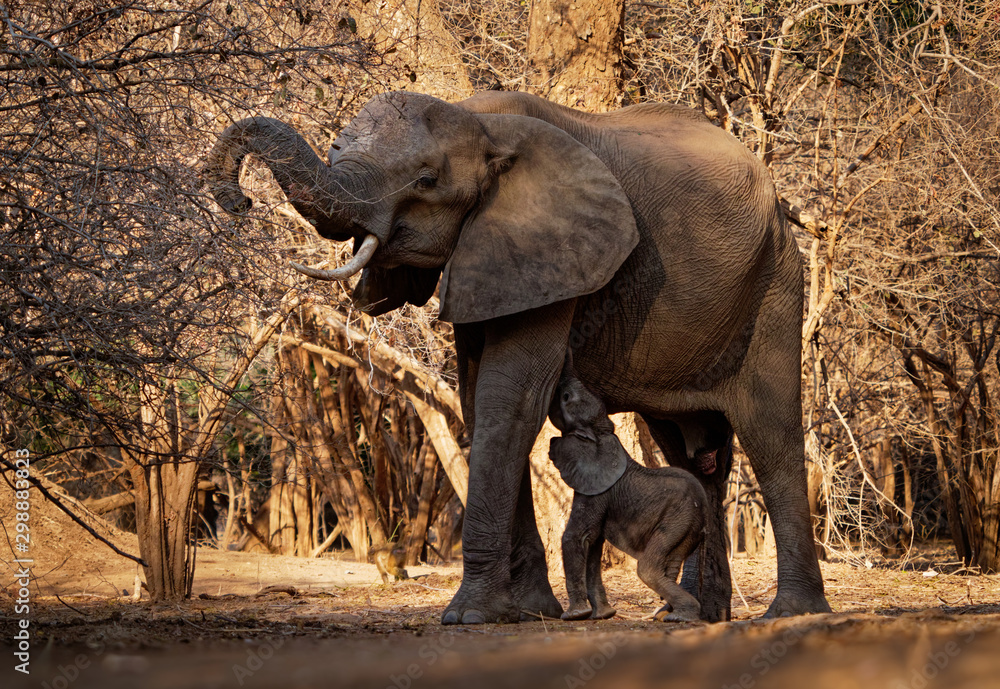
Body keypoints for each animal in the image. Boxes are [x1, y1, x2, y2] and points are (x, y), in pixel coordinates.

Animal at [550, 357, 706, 622]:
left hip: (679, 518)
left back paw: (679, 618)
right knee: (671, 563)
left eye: (566, 397)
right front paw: (603, 615)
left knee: (648, 569)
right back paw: (667, 614)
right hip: (687, 525)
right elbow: (593, 541)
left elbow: (577, 535)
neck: (602, 433)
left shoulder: (597, 488)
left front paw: (574, 616)